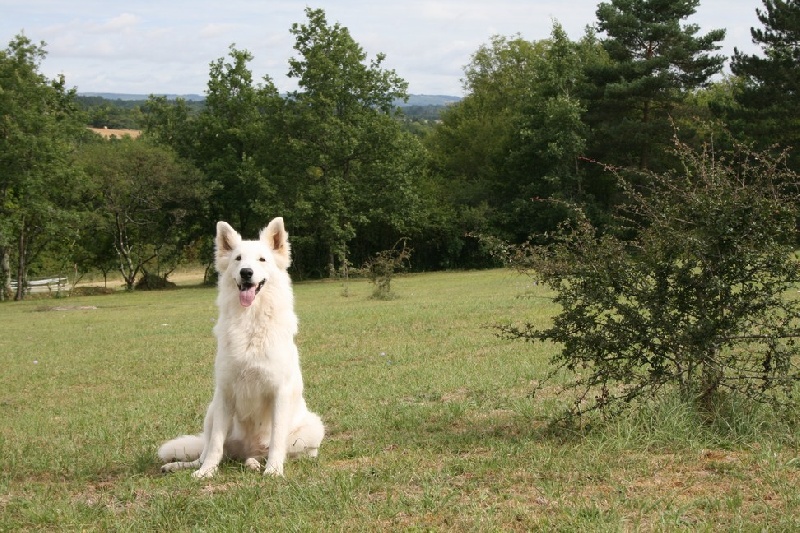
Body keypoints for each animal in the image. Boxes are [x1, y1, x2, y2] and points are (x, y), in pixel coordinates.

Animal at [159, 217, 324, 478]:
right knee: (207, 451)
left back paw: (257, 463)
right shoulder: (225, 393)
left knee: (268, 452)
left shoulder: (279, 392)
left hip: (313, 429)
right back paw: (182, 466)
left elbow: (277, 440)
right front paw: (207, 472)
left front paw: (274, 471)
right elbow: (215, 444)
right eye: (238, 259)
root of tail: (247, 450)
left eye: (262, 260)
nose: (246, 272)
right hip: (211, 410)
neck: (250, 323)